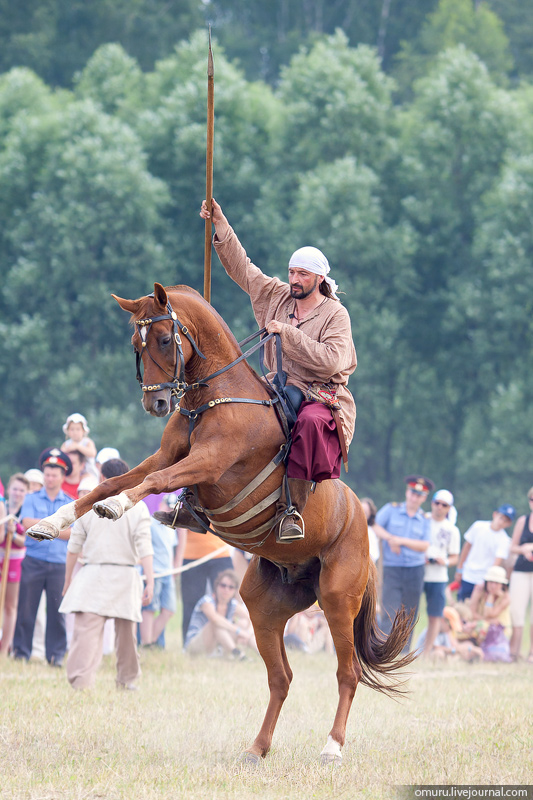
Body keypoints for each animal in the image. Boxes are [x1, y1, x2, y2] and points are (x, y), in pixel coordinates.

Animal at [27, 282, 414, 764]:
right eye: (136, 343)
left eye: (163, 339)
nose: (156, 402)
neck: (215, 398)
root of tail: (360, 520)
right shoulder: (167, 455)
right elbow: (113, 481)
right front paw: (51, 521)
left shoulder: (207, 461)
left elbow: (152, 482)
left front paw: (114, 508)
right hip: (263, 608)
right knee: (281, 677)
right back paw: (257, 748)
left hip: (338, 600)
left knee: (348, 673)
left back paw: (331, 748)